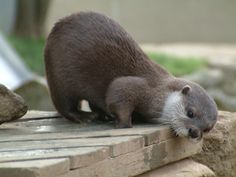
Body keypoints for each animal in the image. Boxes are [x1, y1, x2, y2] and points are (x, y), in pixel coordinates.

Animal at [44, 11, 218, 140]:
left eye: (207, 128)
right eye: (190, 113)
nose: (194, 132)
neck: (159, 94)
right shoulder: (136, 86)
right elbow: (118, 94)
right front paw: (124, 124)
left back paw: (102, 115)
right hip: (59, 77)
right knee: (64, 105)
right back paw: (84, 117)